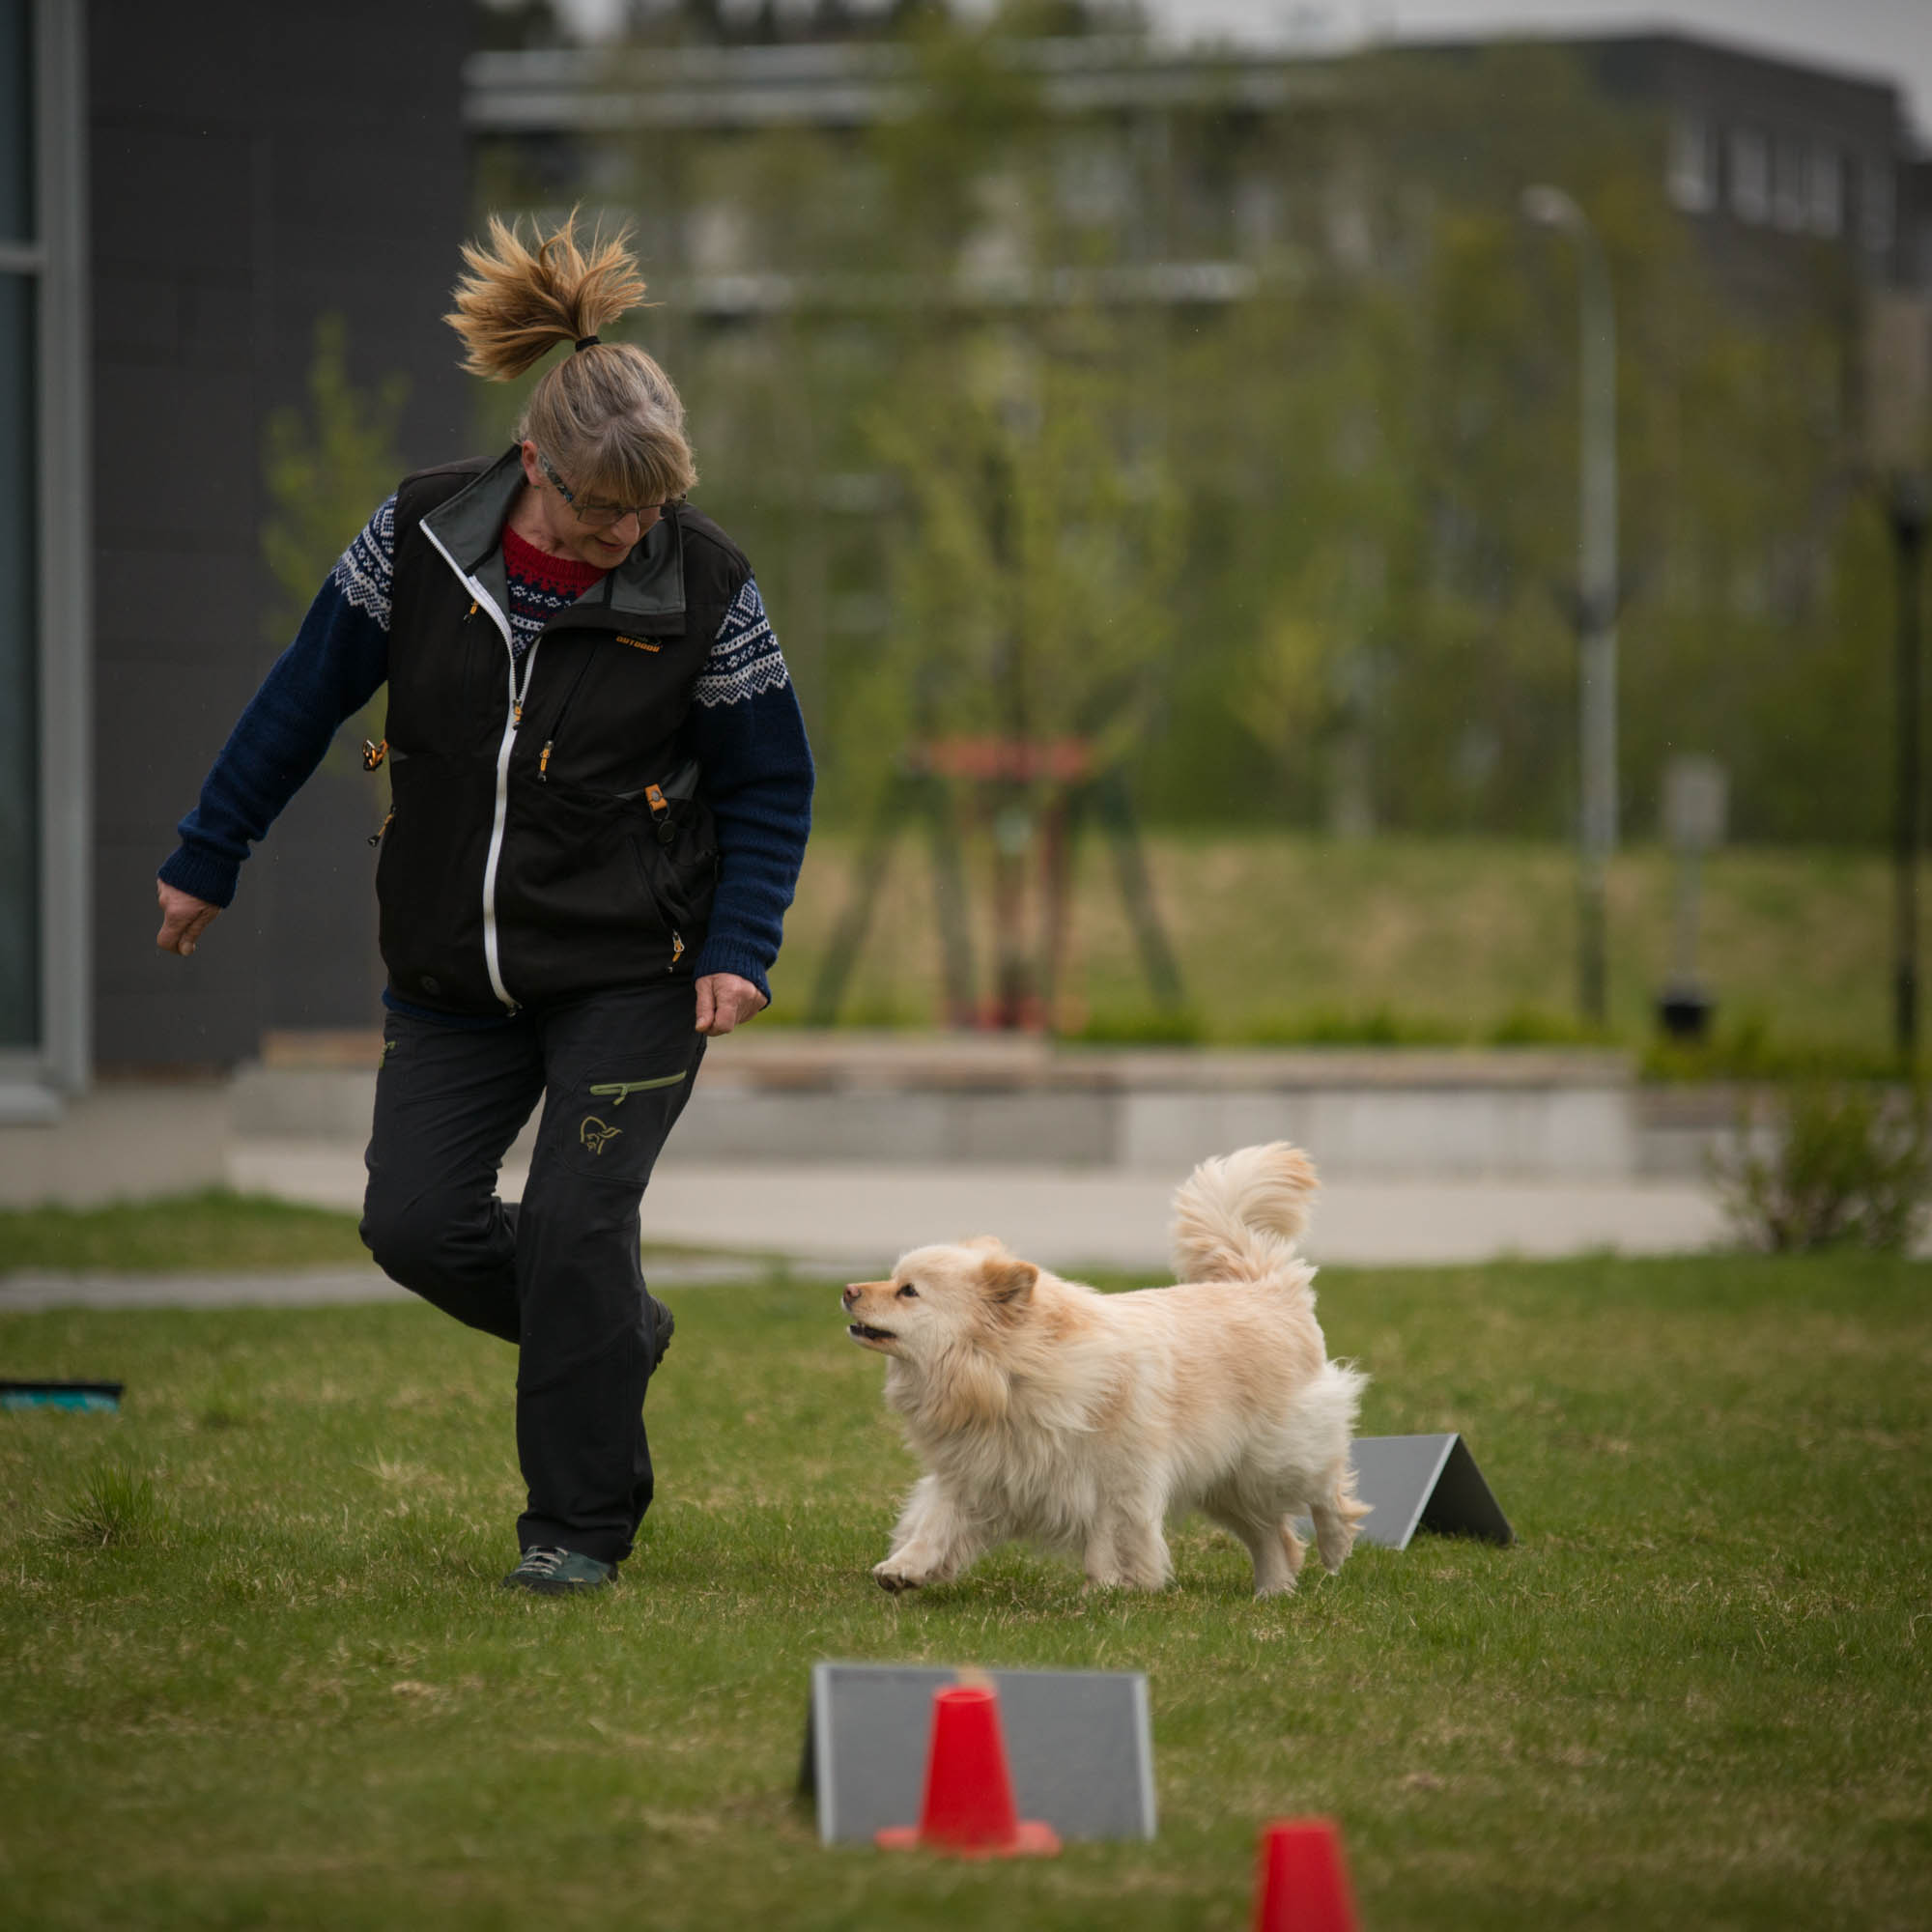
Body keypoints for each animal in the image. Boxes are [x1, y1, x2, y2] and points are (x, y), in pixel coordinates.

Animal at [838, 1136, 1368, 1592]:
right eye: (894, 1280)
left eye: (909, 1291)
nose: (847, 1290)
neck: (1009, 1375)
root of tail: (1265, 1286)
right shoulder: (979, 1475)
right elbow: (935, 1524)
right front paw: (903, 1568)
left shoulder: (1115, 1485)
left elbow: (1110, 1544)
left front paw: (1107, 1593)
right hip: (1226, 1480)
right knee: (1273, 1536)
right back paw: (1271, 1593)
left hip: (1273, 1457)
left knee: (1326, 1486)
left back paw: (1335, 1546)